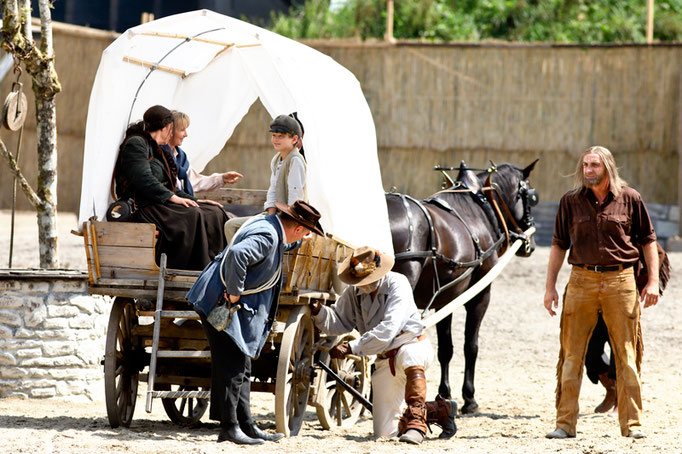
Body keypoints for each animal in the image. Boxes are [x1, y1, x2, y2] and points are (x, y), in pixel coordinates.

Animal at [388, 160, 536, 414]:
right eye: (531, 197)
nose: (531, 244)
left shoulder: (444, 300)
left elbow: (445, 349)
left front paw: (444, 394)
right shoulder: (480, 295)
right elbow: (471, 345)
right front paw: (469, 398)